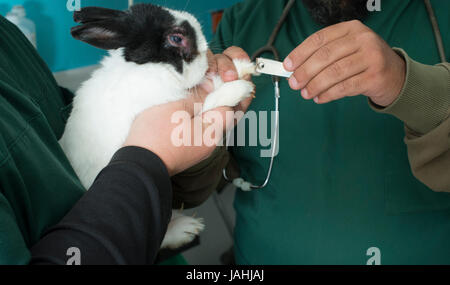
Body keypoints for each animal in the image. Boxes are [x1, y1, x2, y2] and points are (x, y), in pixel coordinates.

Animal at [59, 4, 255, 248]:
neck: (153, 67)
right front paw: (239, 88)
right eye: (176, 38)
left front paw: (243, 66)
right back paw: (187, 229)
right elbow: (211, 100)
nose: (205, 51)